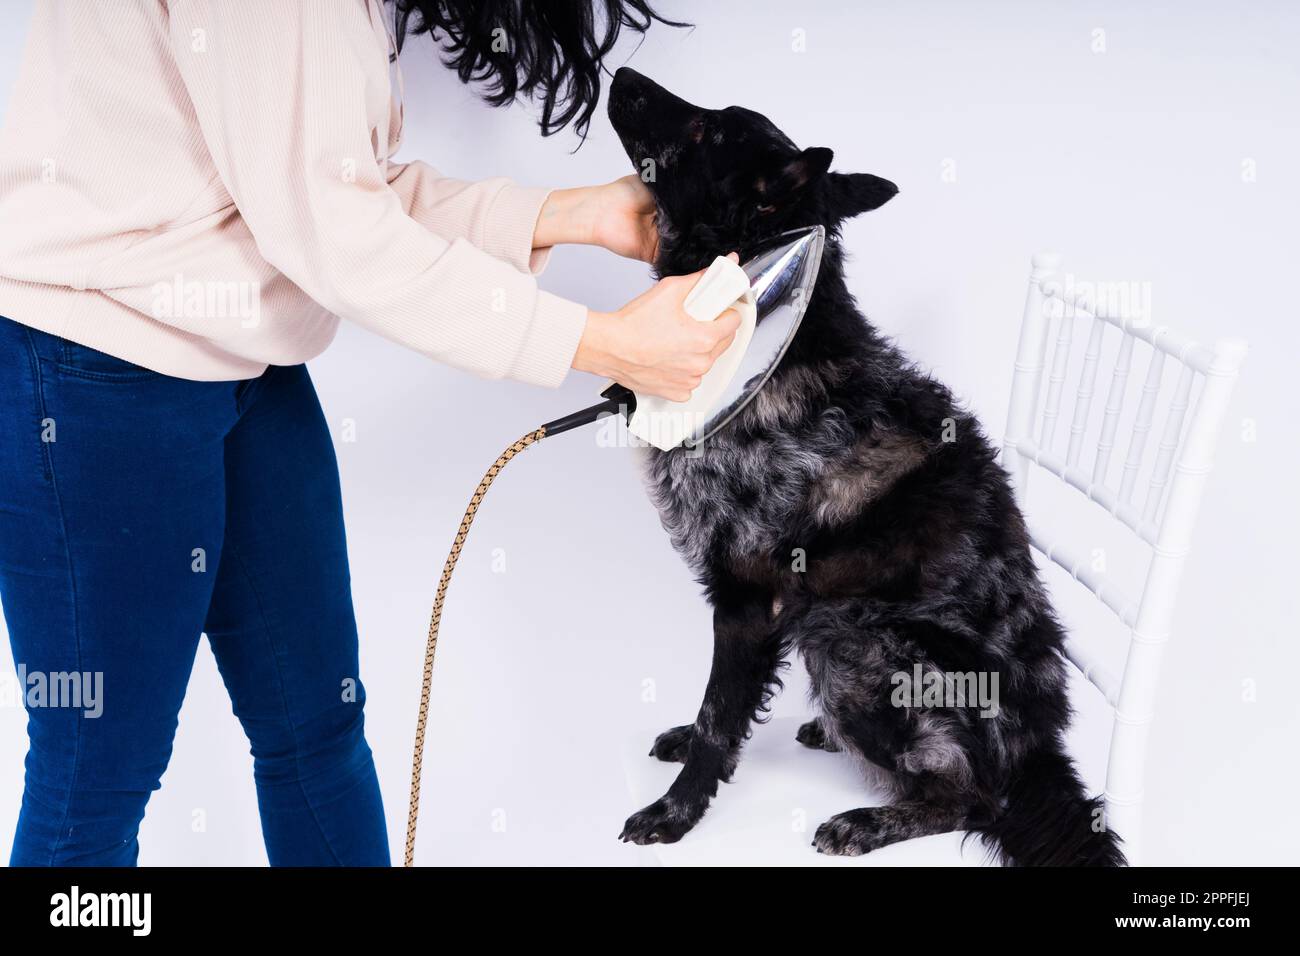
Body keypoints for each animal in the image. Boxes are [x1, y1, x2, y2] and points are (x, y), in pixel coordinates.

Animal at [608, 70, 1128, 868]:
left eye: (705, 131)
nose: (622, 76)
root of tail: (1039, 754)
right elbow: (718, 712)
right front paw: (686, 750)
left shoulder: (749, 597)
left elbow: (721, 715)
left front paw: (676, 812)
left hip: (850, 637)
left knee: (973, 797)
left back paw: (869, 819)